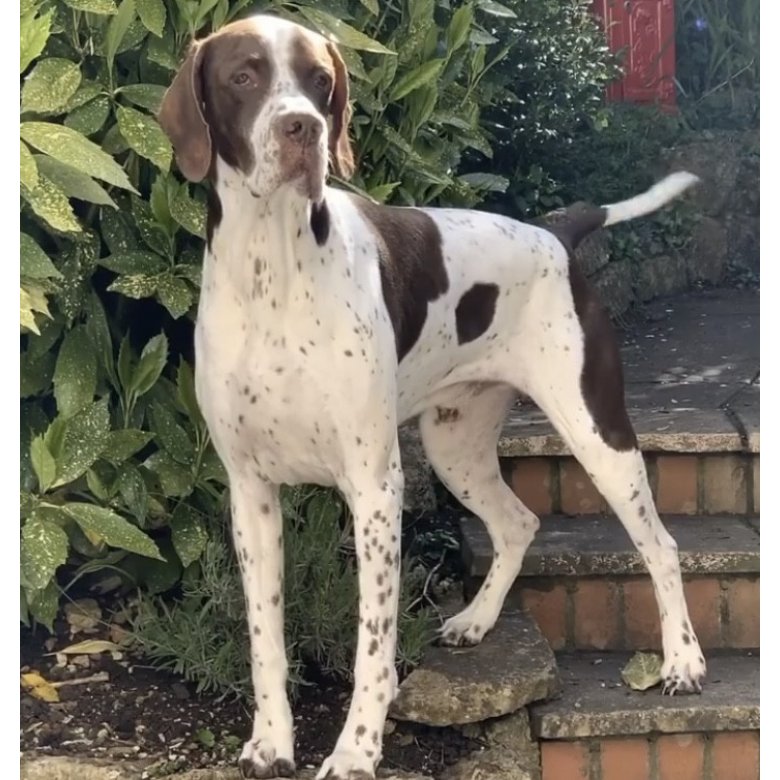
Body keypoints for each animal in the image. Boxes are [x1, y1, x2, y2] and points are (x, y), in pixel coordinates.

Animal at [160, 13, 708, 780]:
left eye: (319, 80)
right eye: (243, 75)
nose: (304, 129)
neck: (273, 266)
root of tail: (555, 232)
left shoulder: (374, 488)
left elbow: (373, 645)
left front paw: (357, 751)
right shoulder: (250, 493)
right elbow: (265, 638)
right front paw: (271, 740)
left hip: (598, 433)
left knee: (661, 544)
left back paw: (683, 661)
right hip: (455, 447)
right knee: (519, 523)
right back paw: (477, 620)